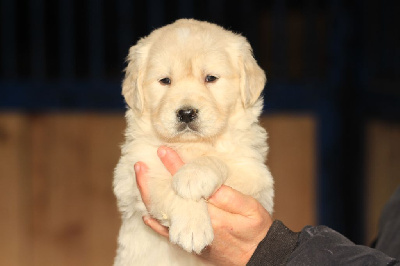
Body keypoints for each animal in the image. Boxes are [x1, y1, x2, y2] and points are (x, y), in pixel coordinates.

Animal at [114, 19, 274, 266]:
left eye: (210, 78)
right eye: (165, 81)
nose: (186, 113)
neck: (191, 146)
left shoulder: (256, 175)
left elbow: (218, 161)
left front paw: (193, 175)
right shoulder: (138, 171)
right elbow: (171, 190)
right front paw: (192, 228)